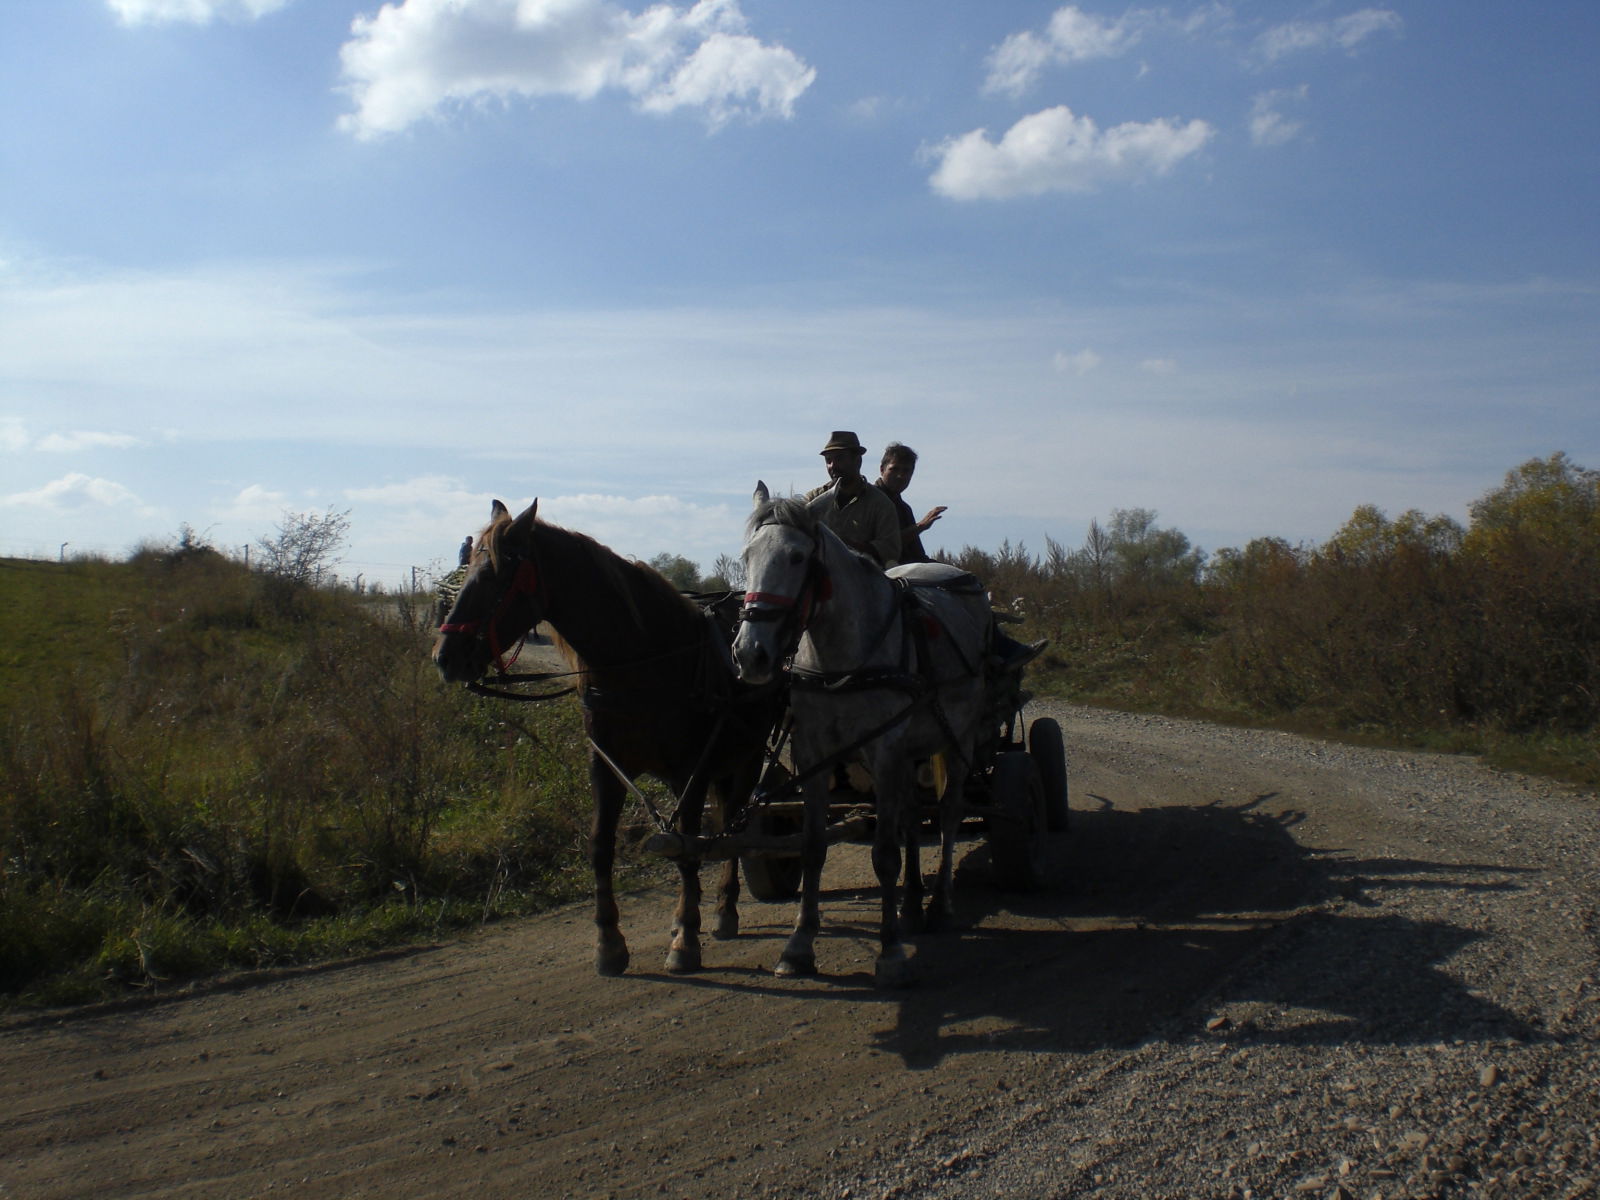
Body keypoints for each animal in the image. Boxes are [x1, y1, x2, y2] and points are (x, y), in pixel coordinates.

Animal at [435, 499, 784, 979]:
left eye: (495, 576)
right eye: (467, 567)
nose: (444, 657)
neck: (644, 659)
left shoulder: (690, 773)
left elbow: (687, 848)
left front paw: (685, 938)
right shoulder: (606, 768)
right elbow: (601, 847)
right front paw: (609, 942)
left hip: (746, 756)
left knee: (734, 824)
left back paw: (725, 910)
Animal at [732, 483, 985, 992]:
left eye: (796, 557)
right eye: (747, 555)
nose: (751, 654)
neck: (840, 659)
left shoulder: (884, 749)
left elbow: (885, 854)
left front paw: (890, 953)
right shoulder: (814, 752)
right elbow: (812, 847)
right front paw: (798, 945)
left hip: (959, 737)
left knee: (948, 814)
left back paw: (939, 904)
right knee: (910, 814)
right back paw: (911, 905)